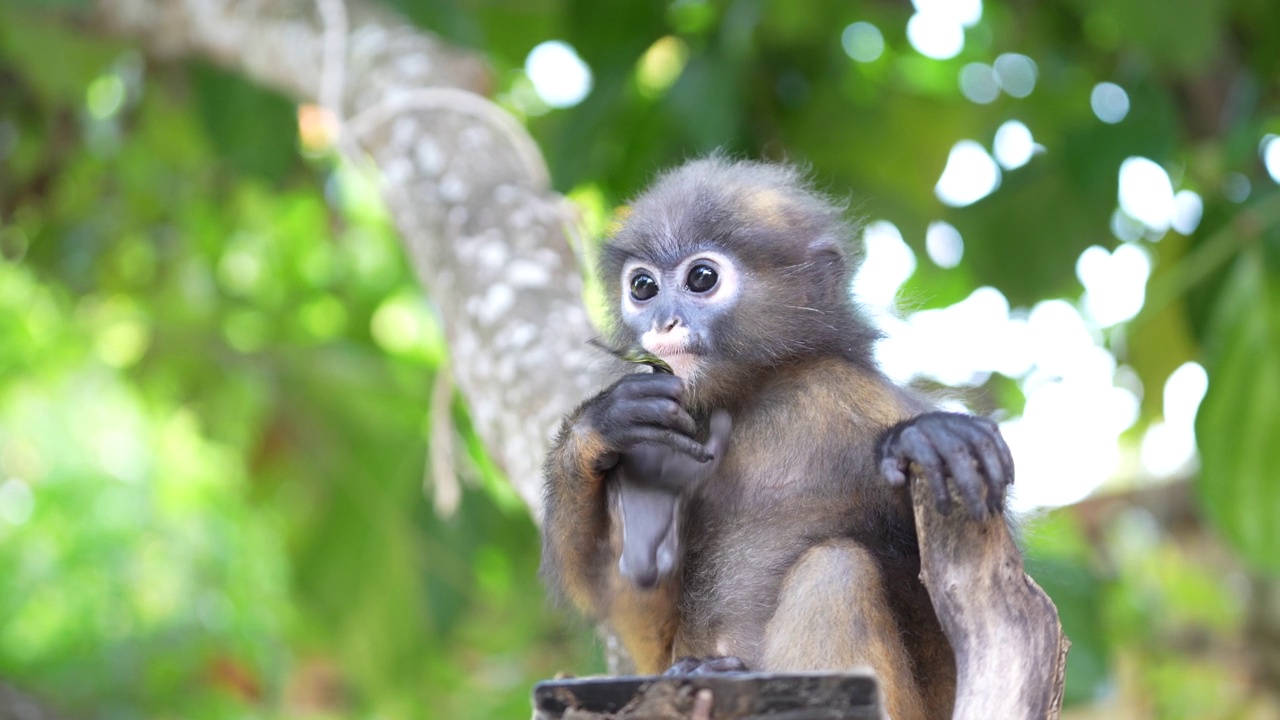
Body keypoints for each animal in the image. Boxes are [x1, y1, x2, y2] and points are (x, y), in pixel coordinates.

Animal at [540, 156, 1008, 717]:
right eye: (643, 287)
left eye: (701, 277)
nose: (662, 321)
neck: (755, 398)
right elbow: (631, 613)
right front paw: (604, 427)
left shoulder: (857, 396)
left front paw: (923, 437)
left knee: (834, 570)